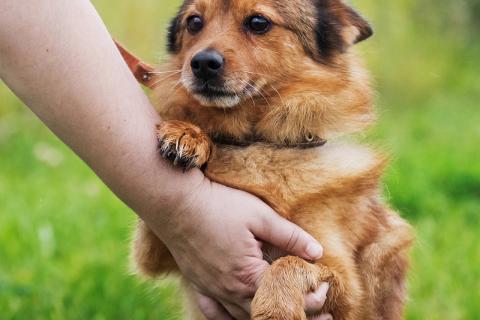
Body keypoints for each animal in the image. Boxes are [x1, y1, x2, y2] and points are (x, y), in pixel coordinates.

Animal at [129, 1, 414, 318]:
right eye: (194, 22)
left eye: (258, 22)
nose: (201, 62)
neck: (260, 144)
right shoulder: (162, 251)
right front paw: (191, 135)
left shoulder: (346, 283)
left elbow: (288, 264)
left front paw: (276, 307)